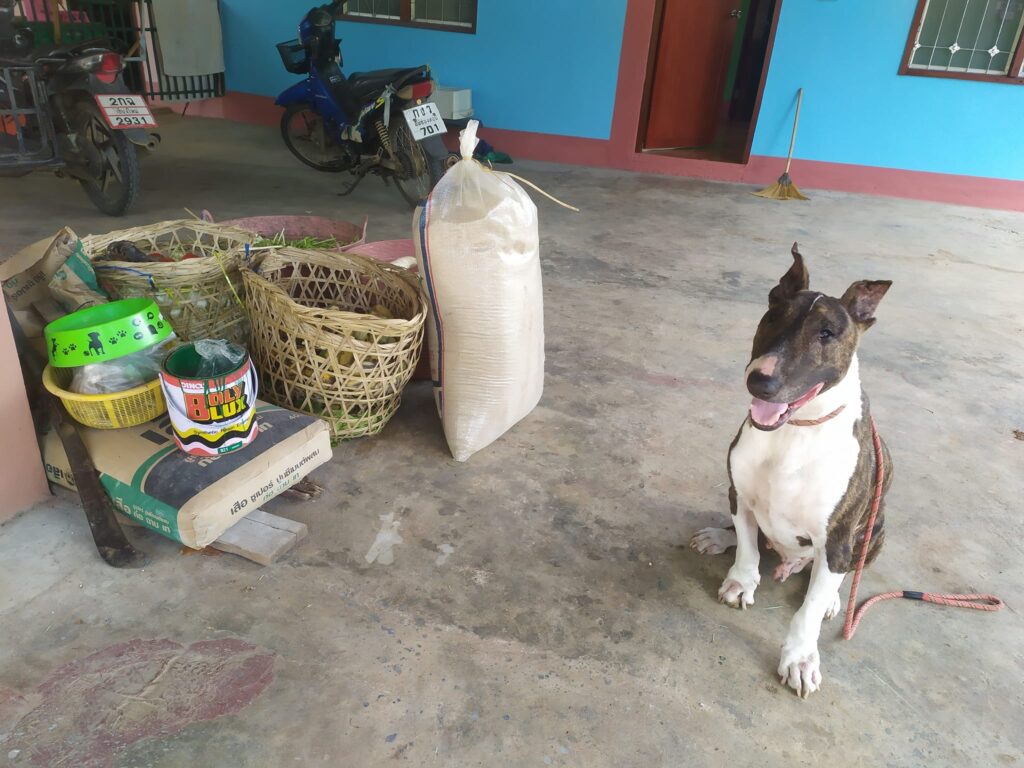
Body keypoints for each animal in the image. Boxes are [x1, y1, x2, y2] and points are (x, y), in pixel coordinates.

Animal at [691, 244, 892, 698]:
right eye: (771, 317)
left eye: (827, 333)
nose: (759, 382)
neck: (794, 431)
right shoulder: (740, 494)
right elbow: (748, 547)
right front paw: (741, 581)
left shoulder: (836, 537)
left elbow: (809, 610)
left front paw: (800, 658)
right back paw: (719, 536)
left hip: (874, 532)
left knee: (839, 574)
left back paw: (833, 597)